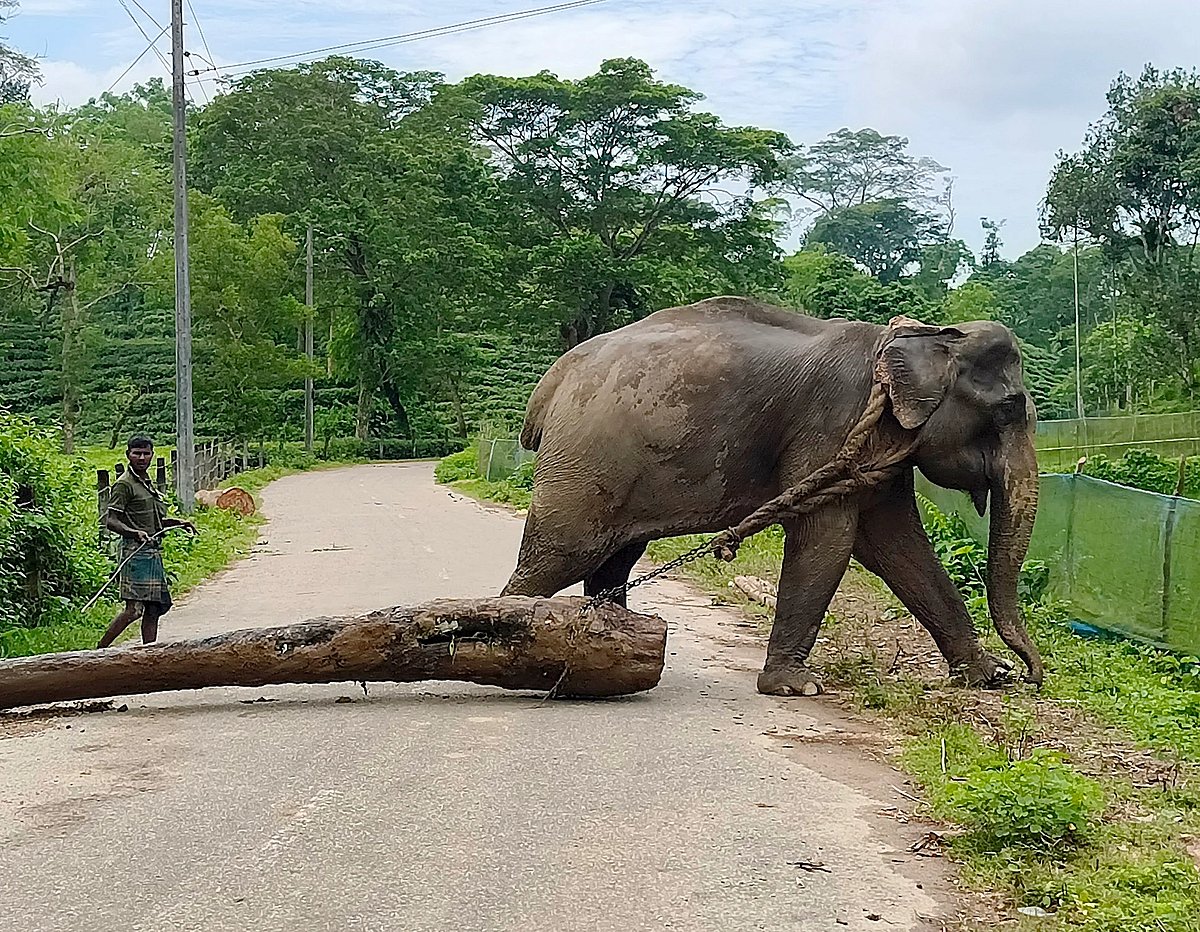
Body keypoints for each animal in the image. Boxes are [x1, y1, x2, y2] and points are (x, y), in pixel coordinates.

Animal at [501, 296, 1043, 695]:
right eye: (1009, 410)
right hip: (585, 459)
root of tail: (552, 383)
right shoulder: (831, 423)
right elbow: (830, 536)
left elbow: (897, 544)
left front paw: (987, 676)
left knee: (613, 560)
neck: (923, 335)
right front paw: (795, 687)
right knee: (562, 554)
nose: (1031, 676)